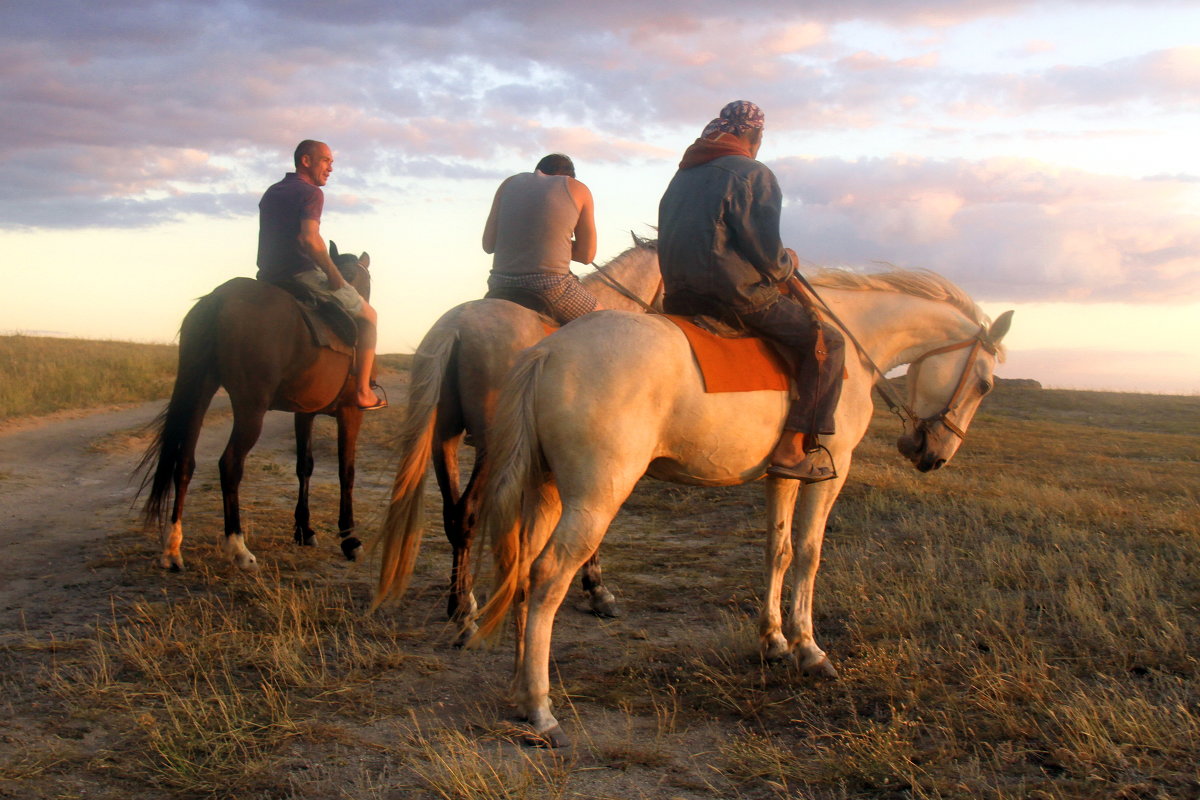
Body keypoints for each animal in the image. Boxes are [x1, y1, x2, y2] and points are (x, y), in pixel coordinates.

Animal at [135, 242, 374, 568]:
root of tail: (219, 298)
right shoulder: (350, 412)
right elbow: (345, 472)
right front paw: (350, 540)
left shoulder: (304, 413)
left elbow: (305, 467)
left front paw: (304, 530)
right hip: (251, 407)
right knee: (230, 463)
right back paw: (237, 546)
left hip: (200, 390)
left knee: (184, 462)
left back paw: (172, 549)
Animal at [468, 271, 1012, 753]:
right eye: (985, 385)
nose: (934, 456)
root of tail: (549, 351)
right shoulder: (830, 475)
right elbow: (809, 554)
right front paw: (809, 649)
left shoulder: (785, 475)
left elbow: (778, 550)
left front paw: (774, 641)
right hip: (595, 497)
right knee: (546, 578)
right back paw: (542, 711)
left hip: (547, 491)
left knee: (522, 573)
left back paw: (519, 693)